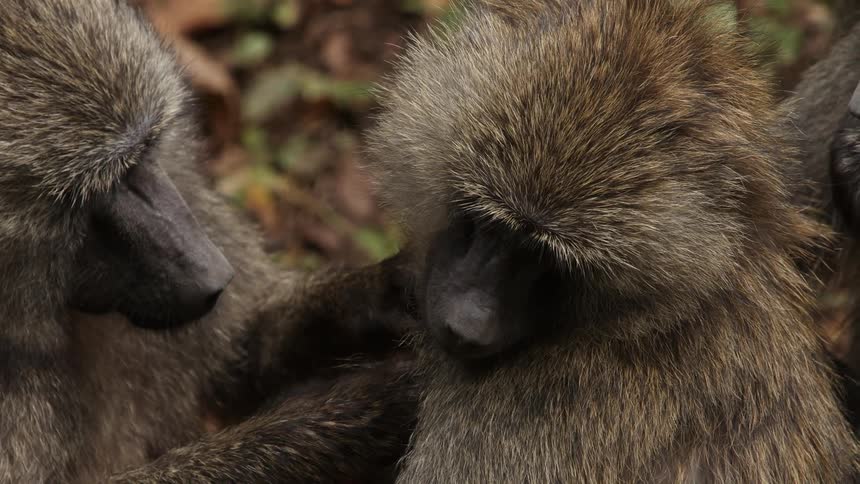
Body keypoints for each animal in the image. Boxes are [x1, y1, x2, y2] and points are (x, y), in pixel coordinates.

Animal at [0, 1, 418, 482]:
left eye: (145, 154)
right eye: (90, 195)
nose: (214, 278)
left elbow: (240, 353)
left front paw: (390, 292)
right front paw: (353, 418)